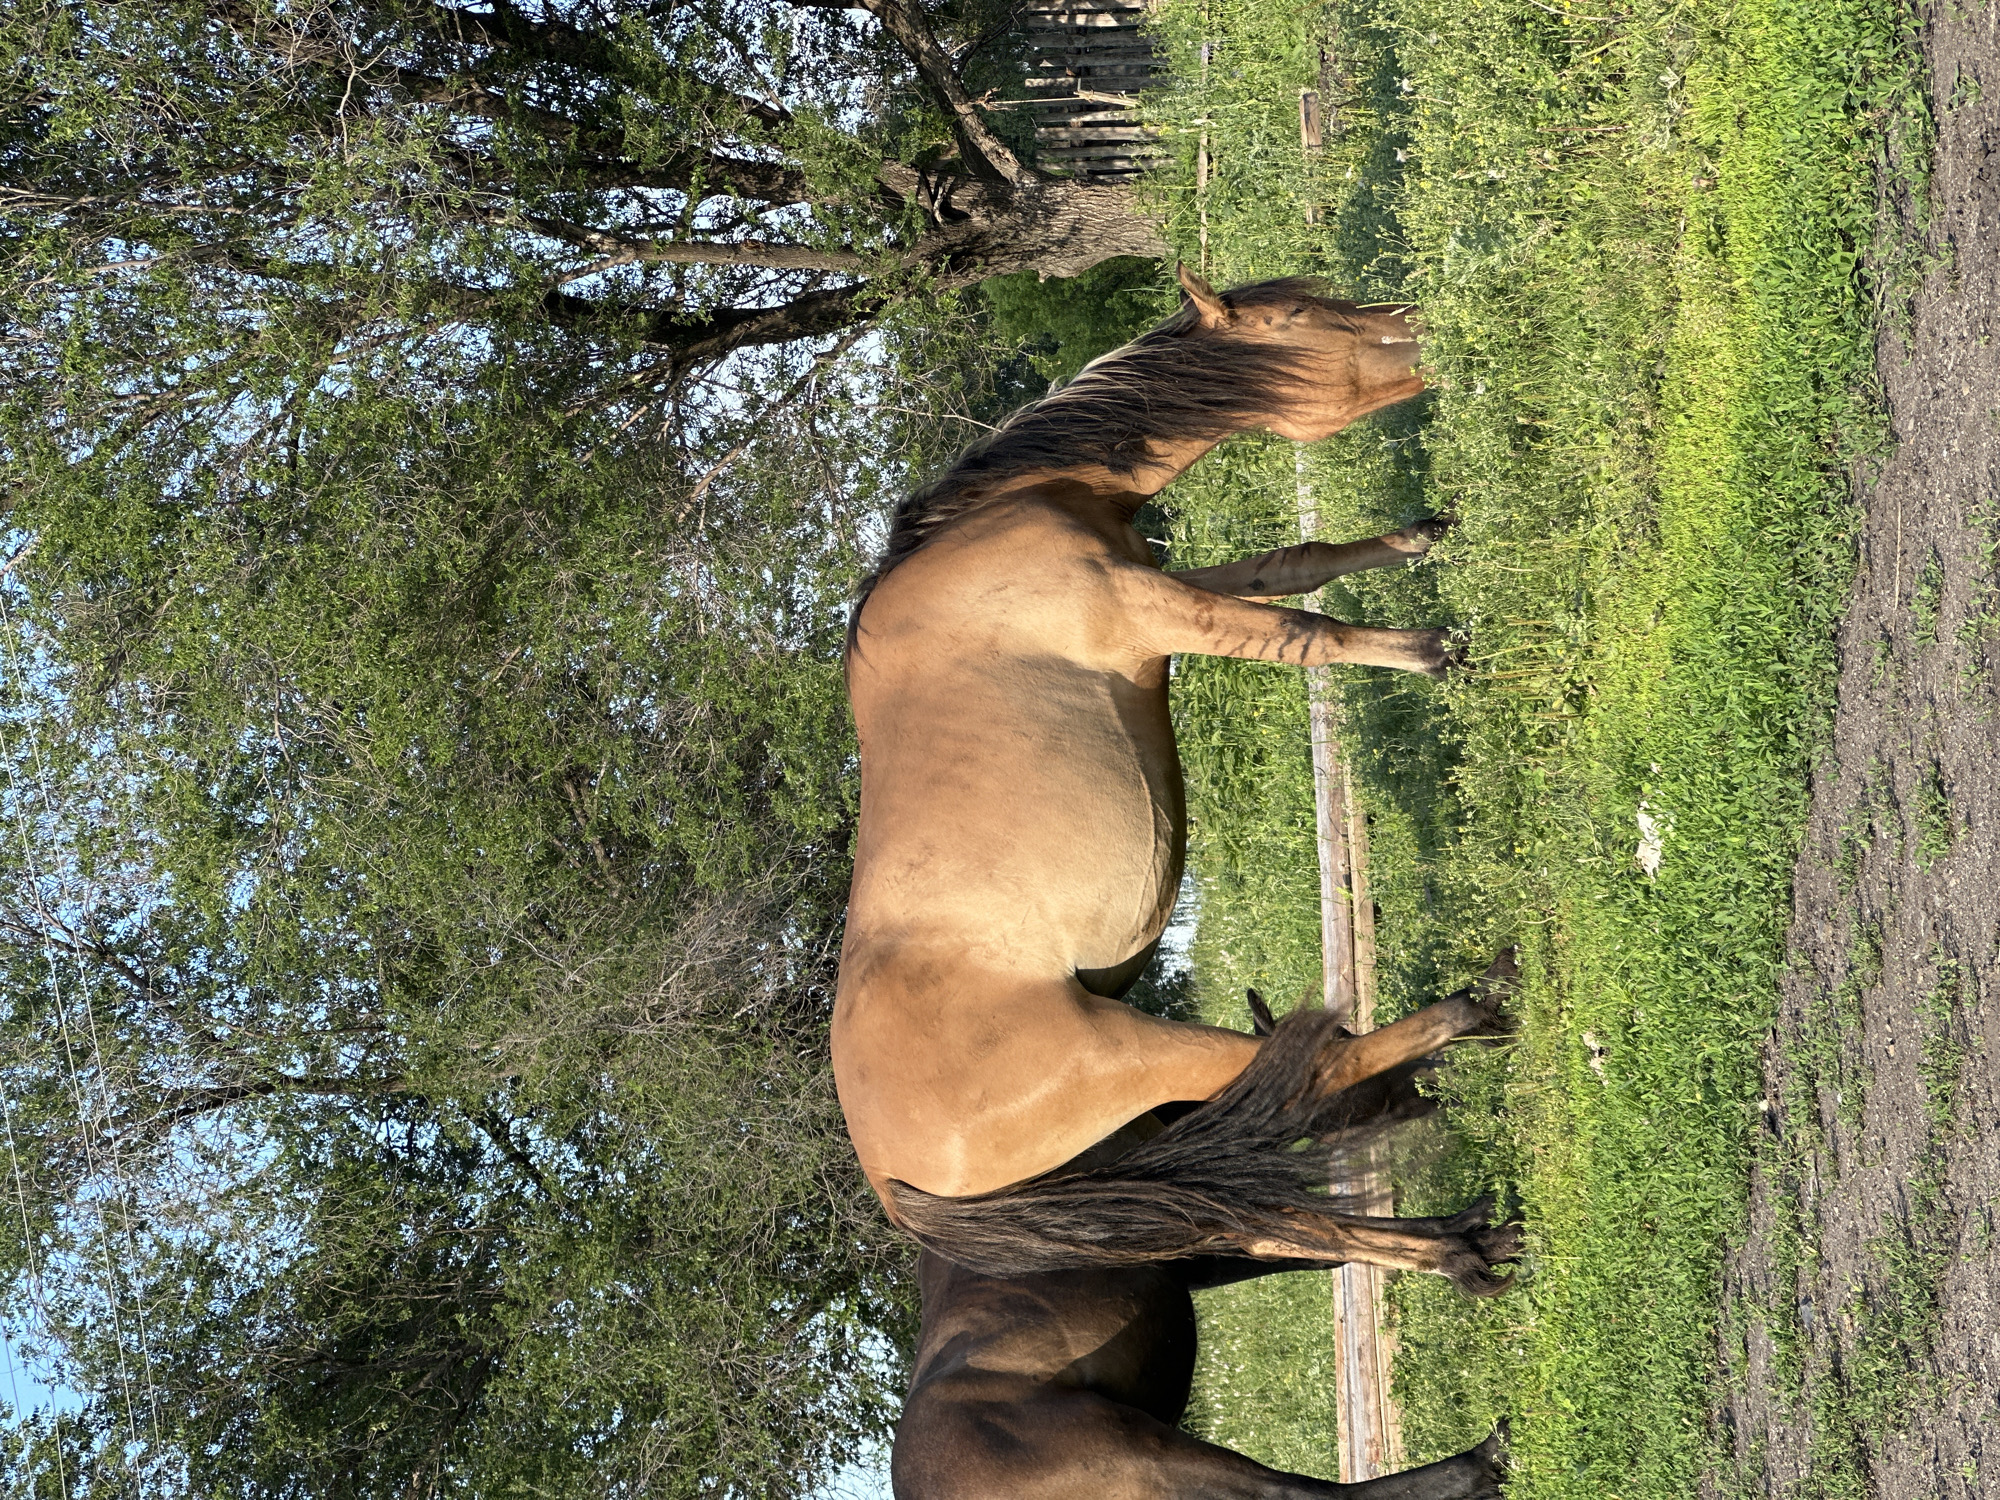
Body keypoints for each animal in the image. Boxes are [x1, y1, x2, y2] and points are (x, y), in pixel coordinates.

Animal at [893, 1022, 1509, 1500]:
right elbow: (1327, 1234)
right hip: (1160, 1461)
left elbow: (1325, 1247)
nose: (1438, 1078)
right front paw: (1467, 1255)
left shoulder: (1202, 1251)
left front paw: (1477, 1231)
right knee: (1308, 1495)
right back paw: (1491, 1458)